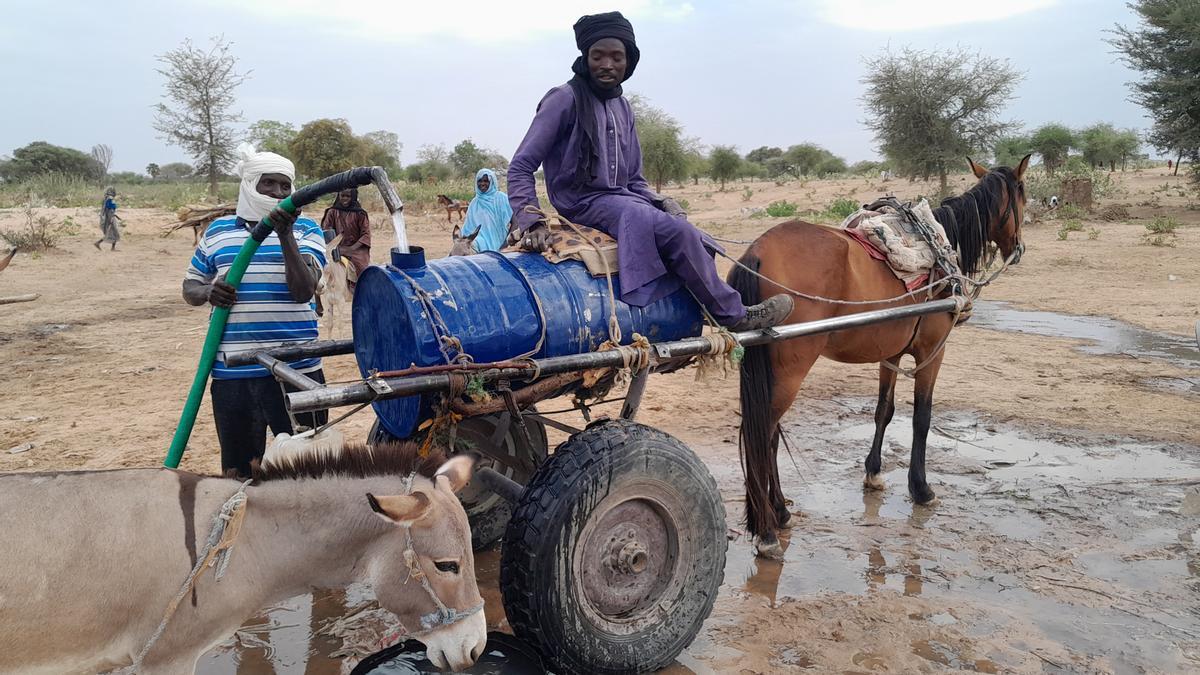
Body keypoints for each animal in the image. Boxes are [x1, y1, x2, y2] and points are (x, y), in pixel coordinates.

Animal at [729, 156, 1032, 557]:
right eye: (1023, 196)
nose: (1019, 249)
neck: (939, 246)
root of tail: (757, 251)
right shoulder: (932, 352)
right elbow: (922, 418)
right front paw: (921, 489)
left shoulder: (891, 354)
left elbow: (883, 410)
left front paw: (873, 472)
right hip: (790, 372)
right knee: (762, 434)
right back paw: (766, 530)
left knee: (769, 435)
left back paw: (780, 512)